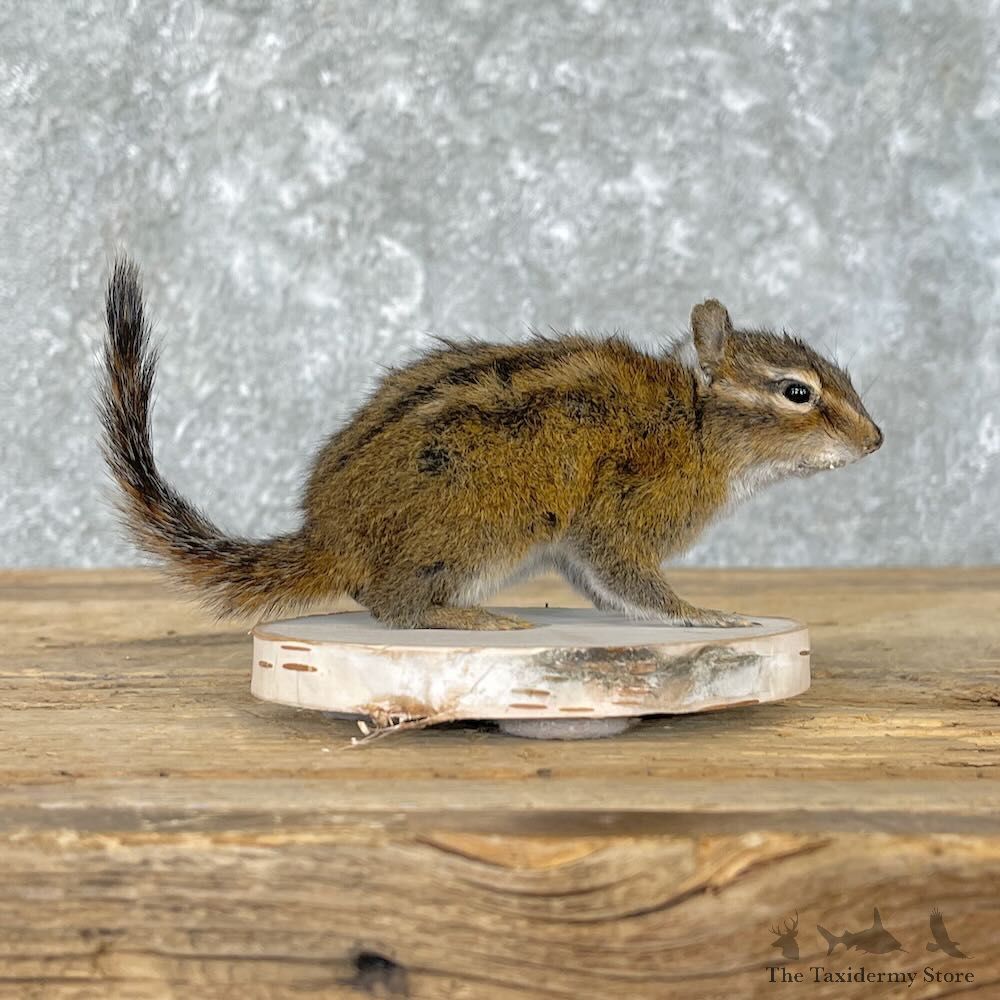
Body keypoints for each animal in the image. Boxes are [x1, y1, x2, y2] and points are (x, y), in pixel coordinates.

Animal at [99, 256, 882, 631]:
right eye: (798, 392)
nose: (876, 440)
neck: (691, 423)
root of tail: (330, 536)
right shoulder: (621, 516)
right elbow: (630, 575)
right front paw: (703, 614)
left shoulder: (579, 548)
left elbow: (602, 586)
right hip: (486, 529)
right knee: (394, 605)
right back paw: (471, 615)